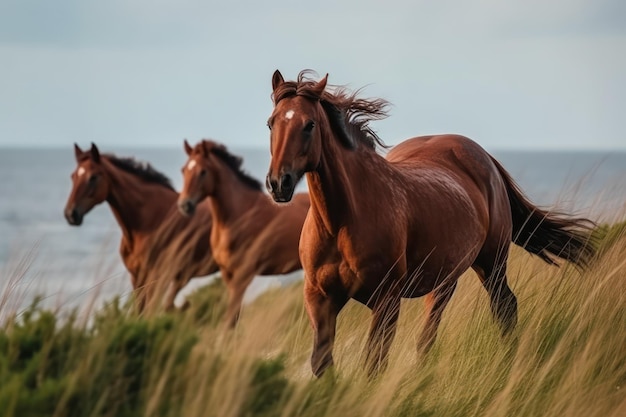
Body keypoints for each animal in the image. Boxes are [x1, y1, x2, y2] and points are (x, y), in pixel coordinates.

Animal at [176, 138, 310, 326]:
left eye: (203, 172)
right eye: (184, 170)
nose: (184, 205)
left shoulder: (242, 276)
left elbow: (230, 320)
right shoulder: (228, 274)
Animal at [264, 70, 596, 376]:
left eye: (310, 124)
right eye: (271, 123)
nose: (278, 183)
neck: (343, 221)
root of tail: (485, 158)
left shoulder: (386, 300)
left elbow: (374, 364)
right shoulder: (319, 298)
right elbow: (322, 363)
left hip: (492, 263)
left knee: (504, 308)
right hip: (445, 280)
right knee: (430, 336)